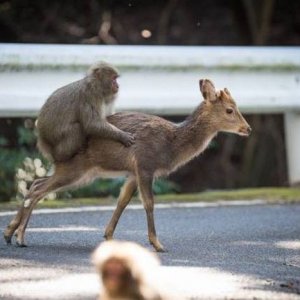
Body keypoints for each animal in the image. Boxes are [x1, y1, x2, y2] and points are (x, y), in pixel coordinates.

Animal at [3, 78, 251, 252]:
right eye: (230, 110)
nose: (248, 128)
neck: (171, 145)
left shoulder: (132, 173)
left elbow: (122, 201)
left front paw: (108, 236)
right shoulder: (145, 164)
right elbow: (149, 203)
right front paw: (158, 244)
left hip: (79, 172)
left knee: (36, 183)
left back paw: (9, 234)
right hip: (75, 168)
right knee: (38, 189)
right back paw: (20, 237)